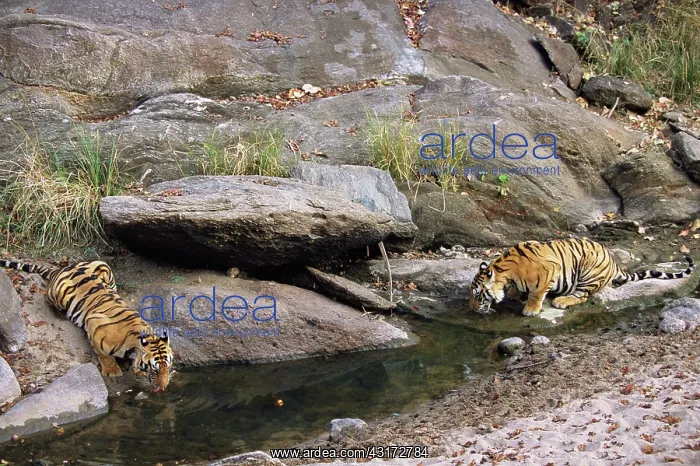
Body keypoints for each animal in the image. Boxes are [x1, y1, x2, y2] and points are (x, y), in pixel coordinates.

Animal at [0, 259, 173, 392]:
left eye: (168, 367)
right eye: (154, 369)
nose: (164, 387)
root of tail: (61, 268)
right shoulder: (94, 323)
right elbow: (104, 355)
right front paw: (113, 372)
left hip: (104, 266)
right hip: (57, 295)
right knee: (47, 300)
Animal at [469, 238, 695, 316]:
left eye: (478, 295)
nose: (472, 308)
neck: (505, 272)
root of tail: (613, 262)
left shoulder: (550, 270)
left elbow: (537, 293)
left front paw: (531, 308)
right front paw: (515, 294)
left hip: (588, 271)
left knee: (582, 296)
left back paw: (561, 300)